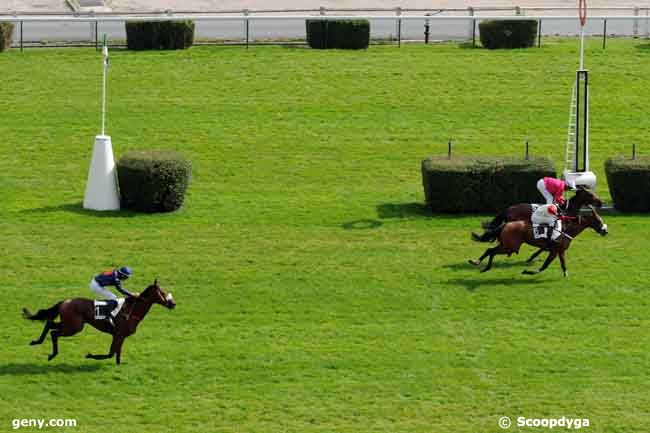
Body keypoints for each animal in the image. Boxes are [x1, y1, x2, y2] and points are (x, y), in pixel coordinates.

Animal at [23, 278, 176, 362]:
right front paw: (90, 355)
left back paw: (36, 342)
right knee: (54, 333)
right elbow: (110, 354)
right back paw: (52, 354)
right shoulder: (118, 334)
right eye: (162, 293)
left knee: (49, 324)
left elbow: (117, 355)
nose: (173, 303)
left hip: (70, 323)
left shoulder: (121, 336)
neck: (132, 310)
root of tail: (65, 301)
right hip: (74, 327)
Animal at [468, 207, 604, 276]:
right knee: (491, 251)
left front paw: (566, 275)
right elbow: (544, 266)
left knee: (489, 250)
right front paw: (528, 271)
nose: (605, 231)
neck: (567, 229)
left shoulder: (560, 250)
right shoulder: (554, 250)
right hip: (511, 247)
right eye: (598, 221)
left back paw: (478, 263)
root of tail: (505, 224)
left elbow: (563, 265)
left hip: (506, 244)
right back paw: (483, 266)